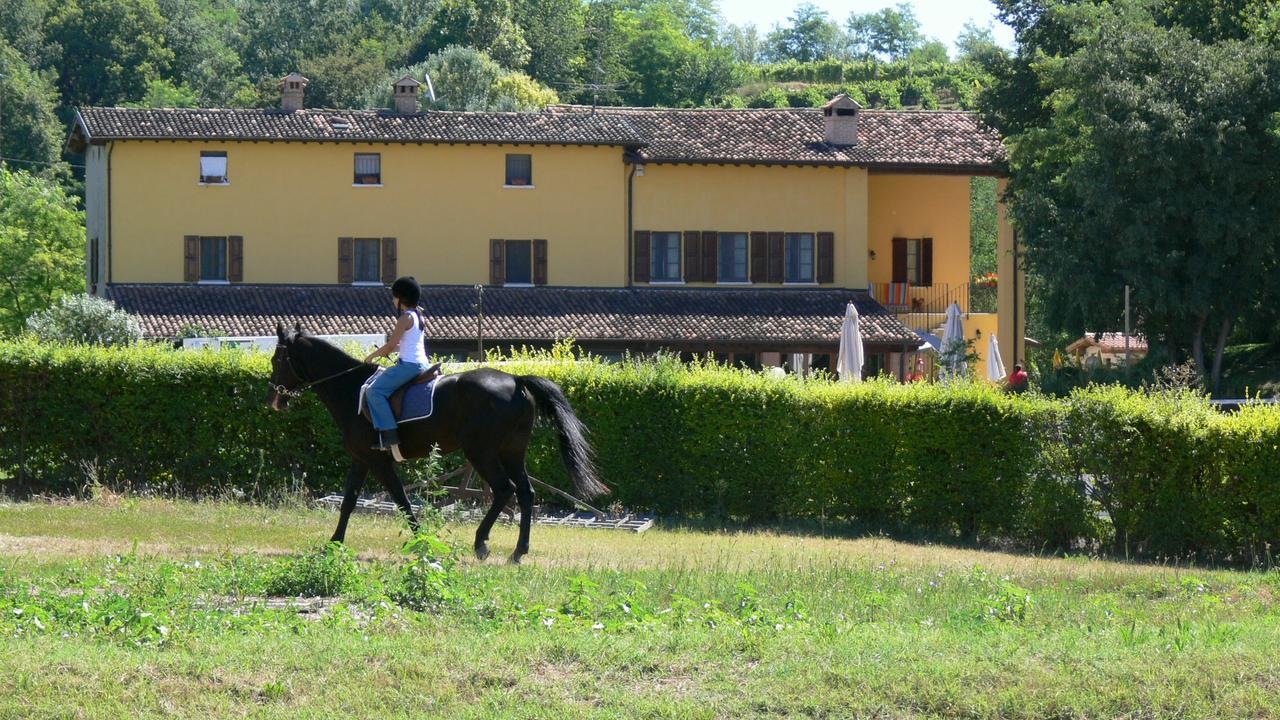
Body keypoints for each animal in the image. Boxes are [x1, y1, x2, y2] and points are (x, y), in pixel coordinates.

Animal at [262, 322, 606, 563]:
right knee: (525, 492)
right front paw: (334, 543)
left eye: (277, 358)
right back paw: (518, 551)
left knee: (503, 490)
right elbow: (348, 502)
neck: (351, 387)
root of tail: (515, 380)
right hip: (511, 452)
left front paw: (420, 543)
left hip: (481, 452)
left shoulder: (378, 461)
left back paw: (481, 543)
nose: (273, 399)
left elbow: (401, 500)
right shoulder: (361, 460)